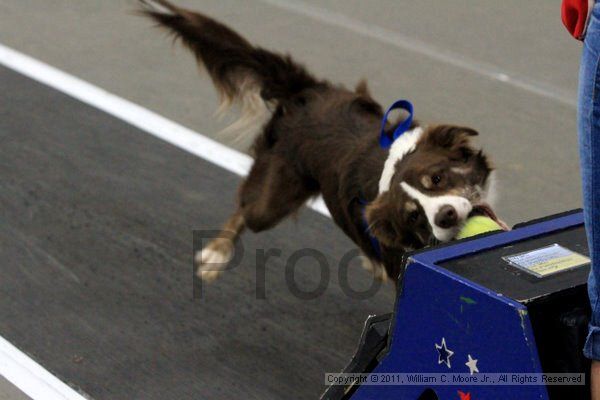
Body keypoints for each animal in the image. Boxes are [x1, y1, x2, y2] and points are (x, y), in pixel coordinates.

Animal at [139, 0, 496, 282]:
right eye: (413, 216)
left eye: (437, 178)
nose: (445, 216)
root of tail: (305, 92)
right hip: (273, 200)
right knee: (245, 208)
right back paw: (216, 252)